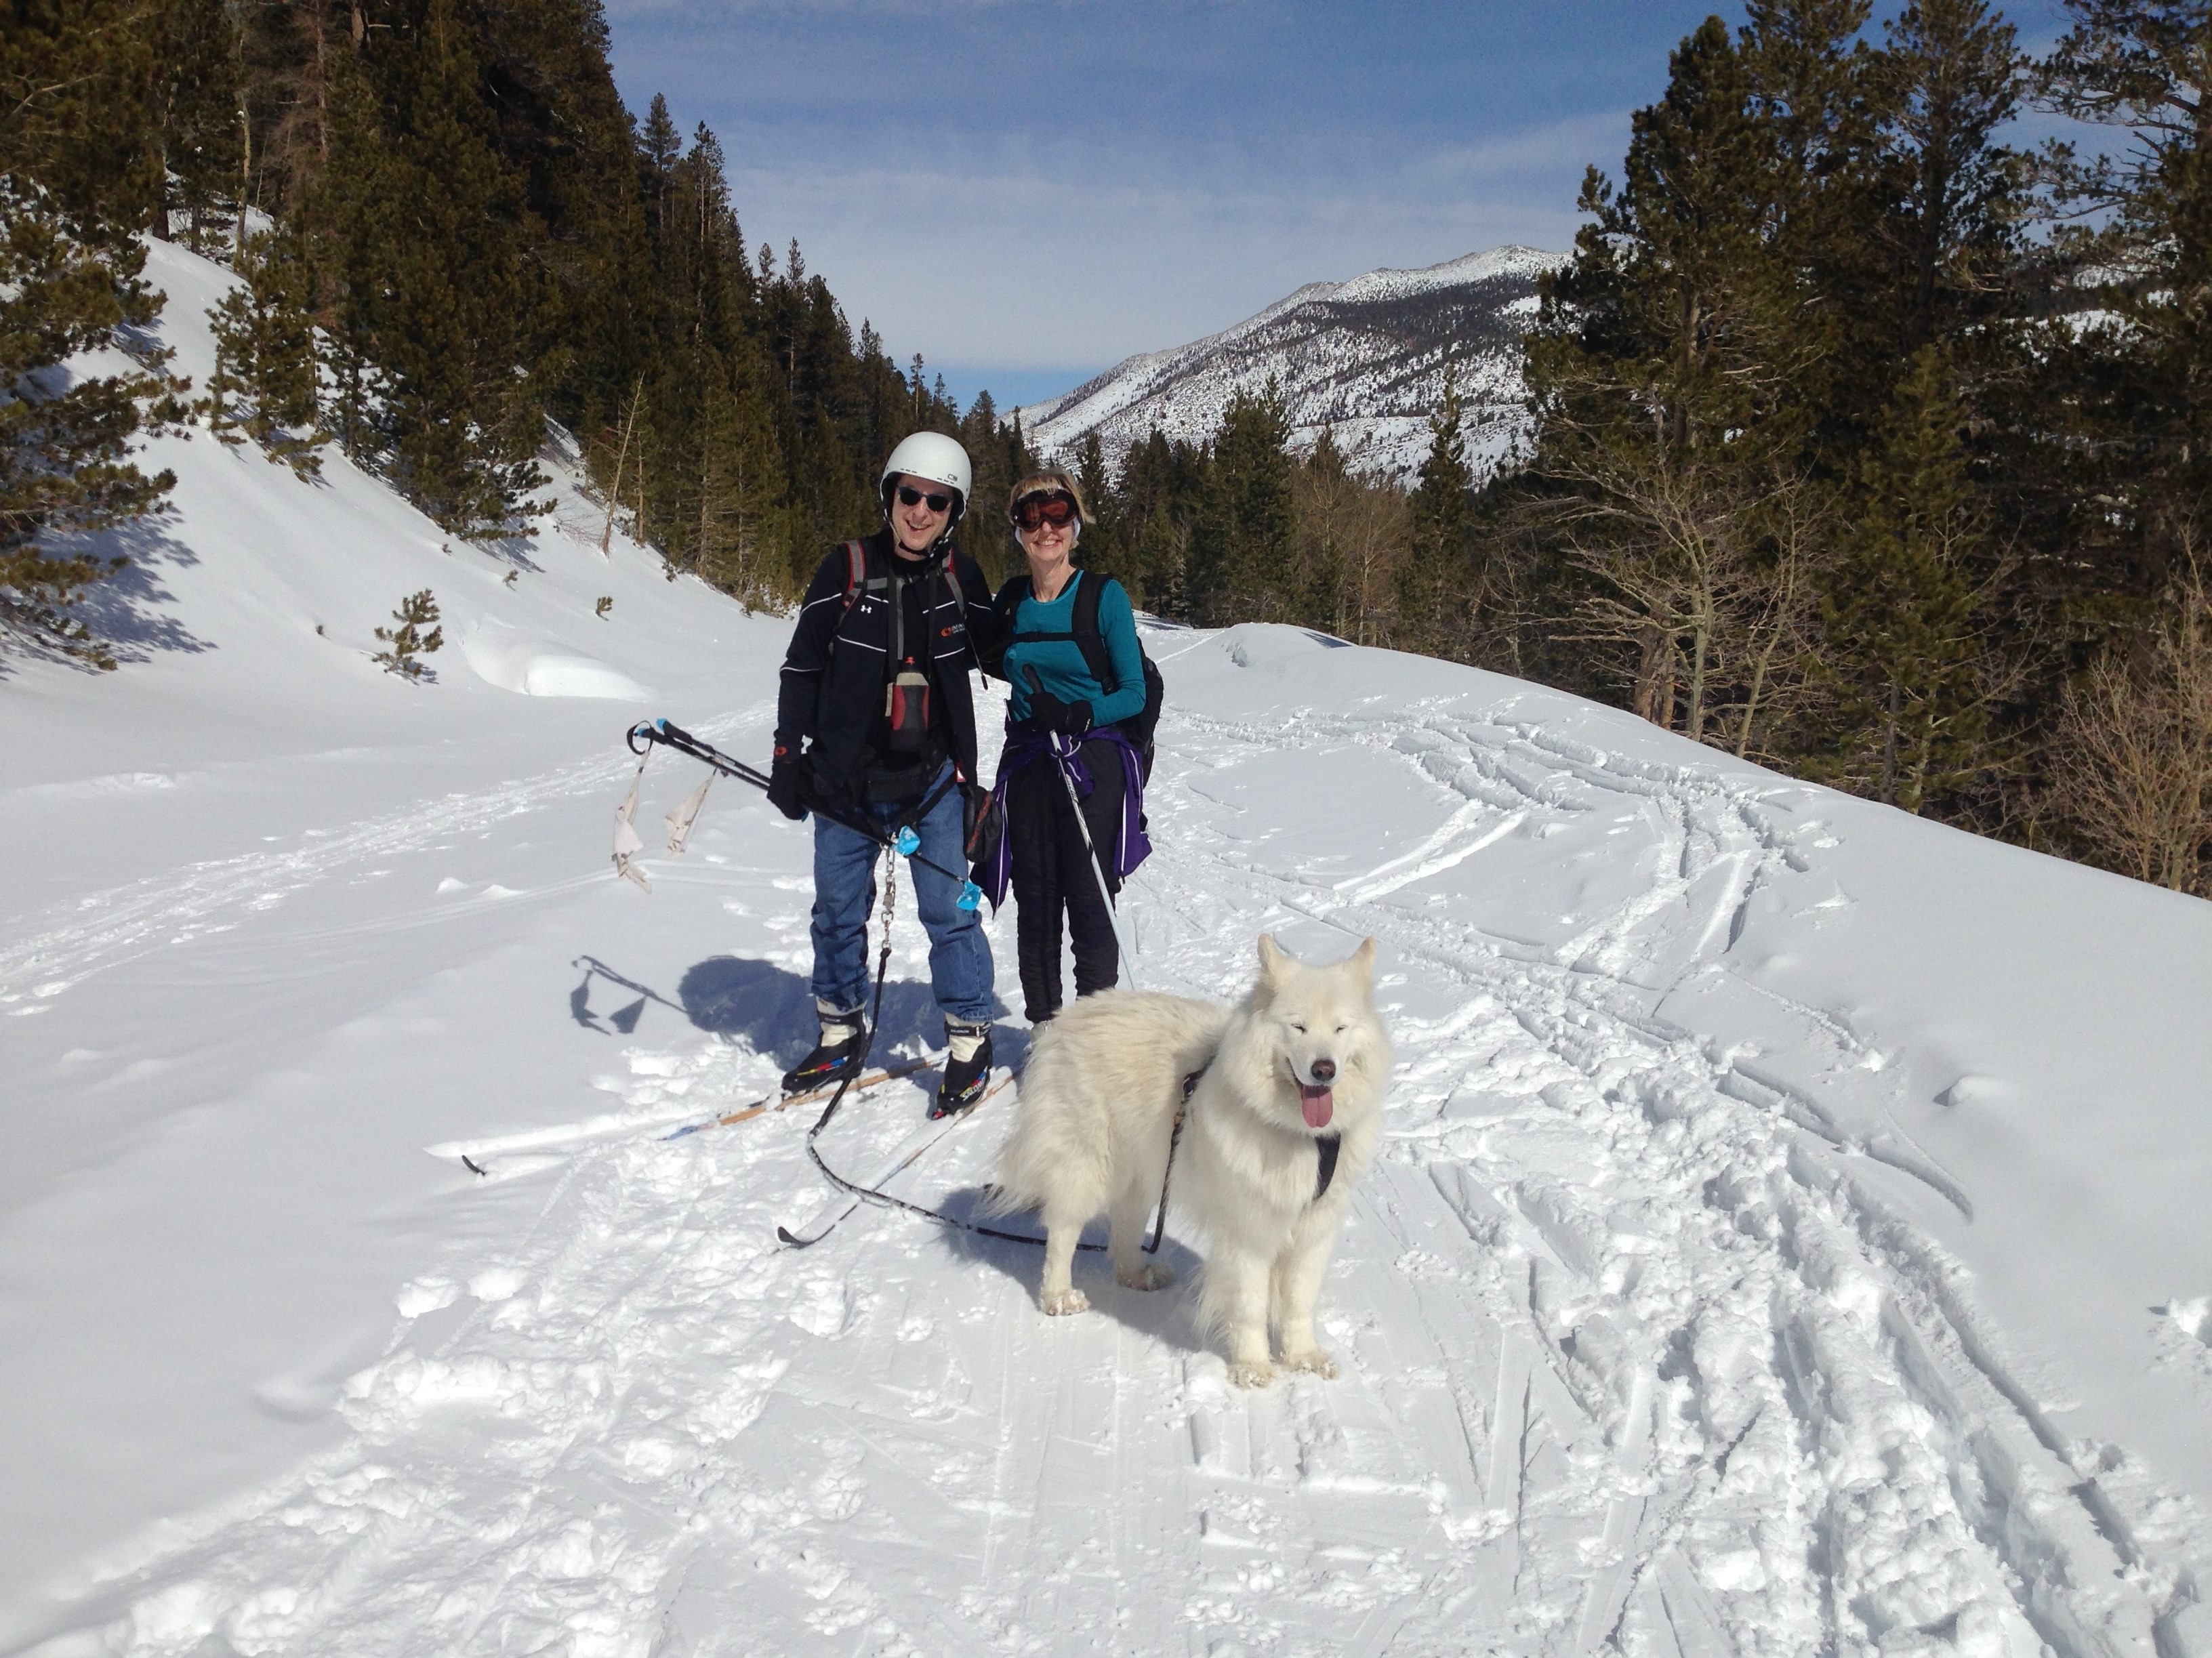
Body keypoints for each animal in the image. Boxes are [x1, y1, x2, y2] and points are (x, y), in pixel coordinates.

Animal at [995, 937, 1389, 1388]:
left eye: (1341, 1029)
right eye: (1298, 1027)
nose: (1324, 1070)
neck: (1300, 1135)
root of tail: (1066, 1019)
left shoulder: (1314, 1230)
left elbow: (1299, 1303)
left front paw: (1305, 1357)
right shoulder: (1248, 1232)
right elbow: (1250, 1306)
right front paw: (1253, 1368)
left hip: (1146, 1171)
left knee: (1123, 1232)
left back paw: (1138, 1275)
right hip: (1088, 1165)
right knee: (1062, 1232)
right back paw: (1059, 1297)